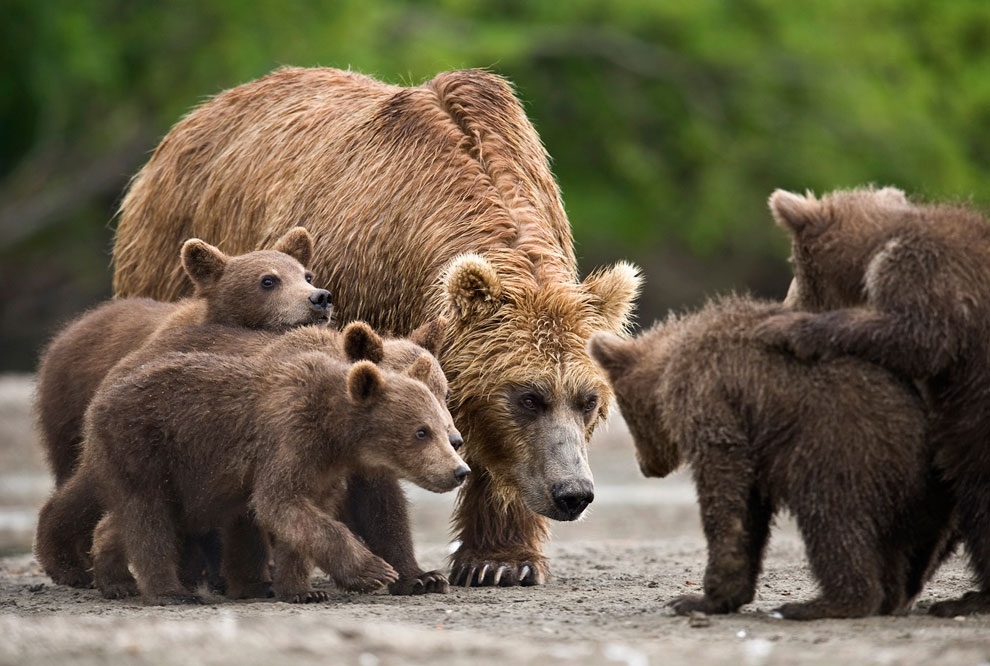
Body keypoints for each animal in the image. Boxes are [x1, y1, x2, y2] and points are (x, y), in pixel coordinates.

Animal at [110, 66, 644, 588]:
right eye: (529, 397)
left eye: (588, 400)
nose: (572, 493)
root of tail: (200, 112)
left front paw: (499, 562)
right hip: (172, 251)